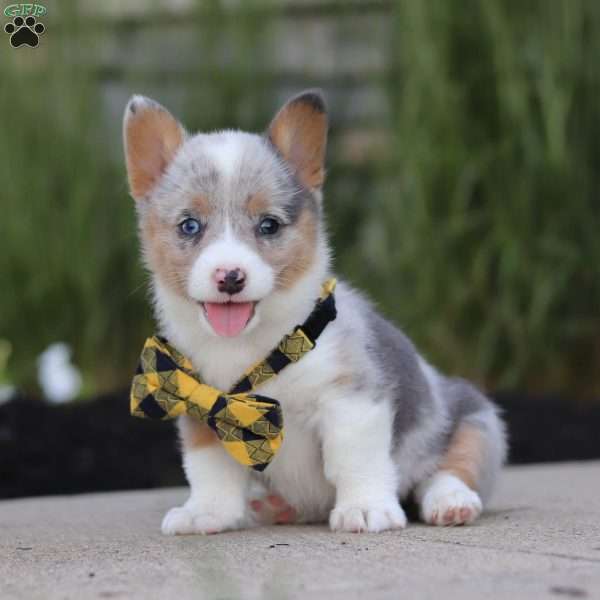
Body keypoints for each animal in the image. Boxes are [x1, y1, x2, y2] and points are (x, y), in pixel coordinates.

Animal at [122, 90, 506, 536]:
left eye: (269, 225)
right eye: (189, 226)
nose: (230, 277)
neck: (255, 349)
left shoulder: (351, 401)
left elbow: (354, 460)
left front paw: (365, 508)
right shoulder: (203, 406)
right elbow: (210, 471)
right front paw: (206, 513)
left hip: (476, 420)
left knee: (447, 470)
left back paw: (451, 502)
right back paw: (272, 506)